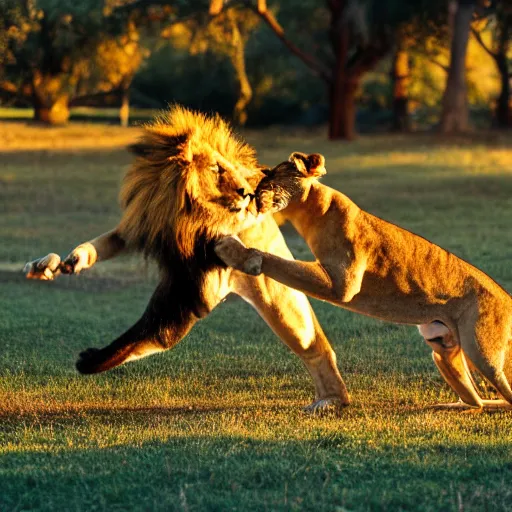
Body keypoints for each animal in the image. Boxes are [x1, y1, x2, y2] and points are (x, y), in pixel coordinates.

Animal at [25, 109, 352, 416]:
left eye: (229, 169)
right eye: (217, 169)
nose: (248, 193)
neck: (187, 209)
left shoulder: (190, 282)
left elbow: (150, 332)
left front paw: (89, 359)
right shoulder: (149, 229)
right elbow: (107, 246)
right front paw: (64, 262)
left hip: (275, 293)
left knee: (309, 342)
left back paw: (331, 400)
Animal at [215, 152, 512, 412]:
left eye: (273, 178)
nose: (253, 195)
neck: (308, 213)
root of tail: (507, 297)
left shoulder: (342, 286)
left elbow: (279, 263)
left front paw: (237, 252)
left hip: (481, 352)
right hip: (441, 348)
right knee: (475, 400)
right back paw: (458, 405)